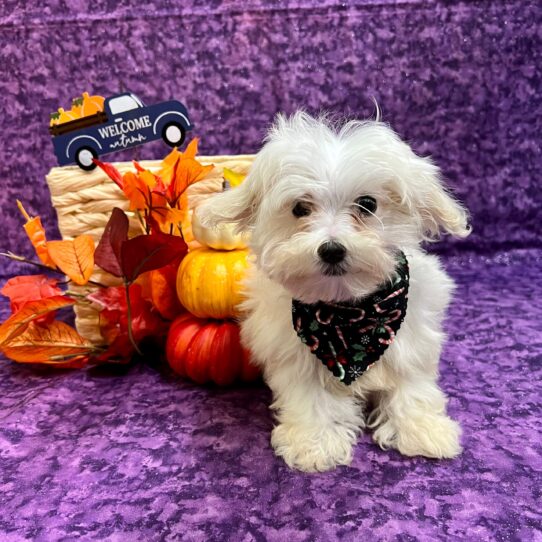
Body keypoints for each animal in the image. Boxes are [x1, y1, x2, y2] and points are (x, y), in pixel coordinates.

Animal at [197, 112, 472, 474]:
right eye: (300, 208)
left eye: (367, 204)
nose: (331, 249)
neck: (350, 316)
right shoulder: (293, 355)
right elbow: (310, 396)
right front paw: (313, 443)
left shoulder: (412, 339)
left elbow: (411, 383)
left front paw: (422, 428)